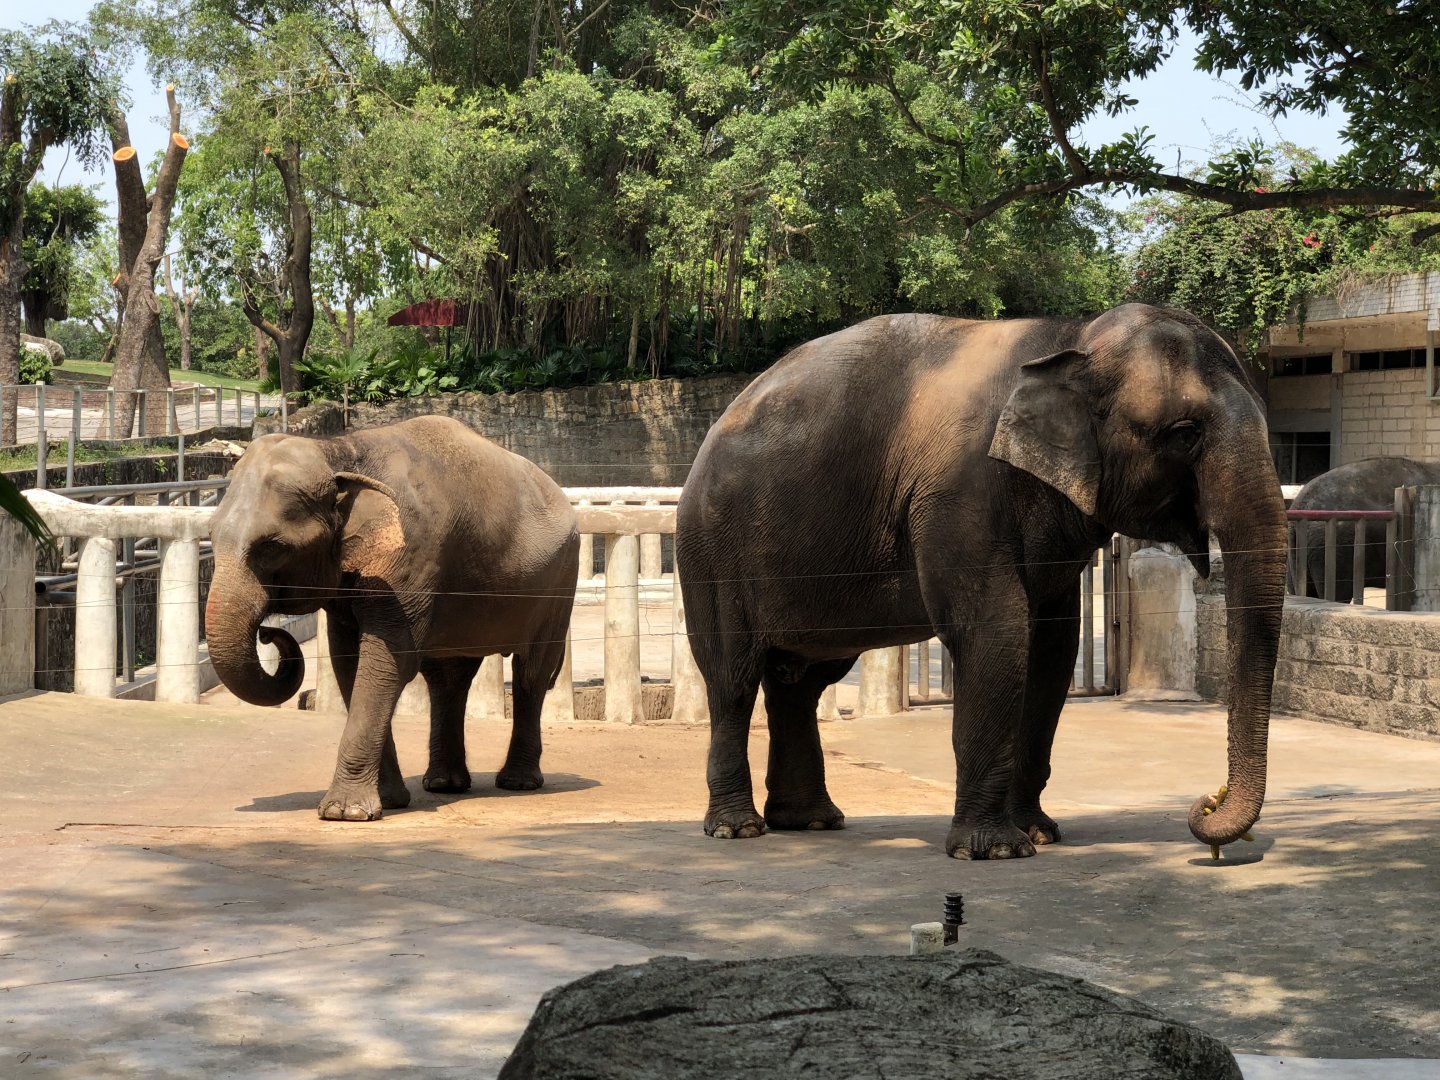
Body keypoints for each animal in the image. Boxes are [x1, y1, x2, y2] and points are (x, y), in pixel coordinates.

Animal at [205, 415, 579, 821]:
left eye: (273, 548)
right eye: (210, 535)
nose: (268, 633)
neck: (339, 450)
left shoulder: (410, 557)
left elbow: (388, 661)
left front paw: (346, 814)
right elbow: (349, 662)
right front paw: (386, 801)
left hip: (560, 580)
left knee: (532, 672)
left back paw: (517, 783)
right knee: (448, 676)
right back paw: (445, 783)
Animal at [676, 303, 1287, 860]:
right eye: (1184, 434)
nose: (1206, 803)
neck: (1071, 337)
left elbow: (1052, 647)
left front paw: (1039, 834)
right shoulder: (962, 495)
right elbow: (997, 632)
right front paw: (996, 850)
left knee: (802, 680)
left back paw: (811, 822)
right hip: (712, 552)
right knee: (732, 677)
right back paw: (738, 829)